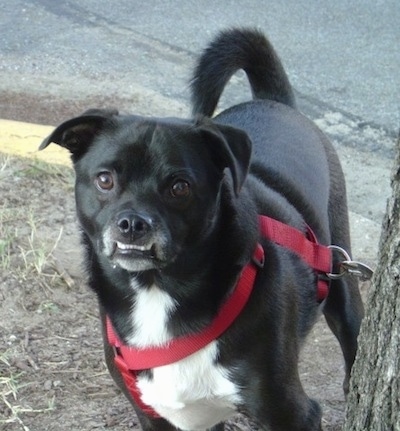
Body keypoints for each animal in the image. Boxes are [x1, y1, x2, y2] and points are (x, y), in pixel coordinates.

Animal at [41, 28, 366, 430]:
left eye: (180, 187)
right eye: (104, 179)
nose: (132, 223)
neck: (156, 291)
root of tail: (275, 102)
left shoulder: (291, 412)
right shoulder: (160, 416)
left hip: (341, 279)